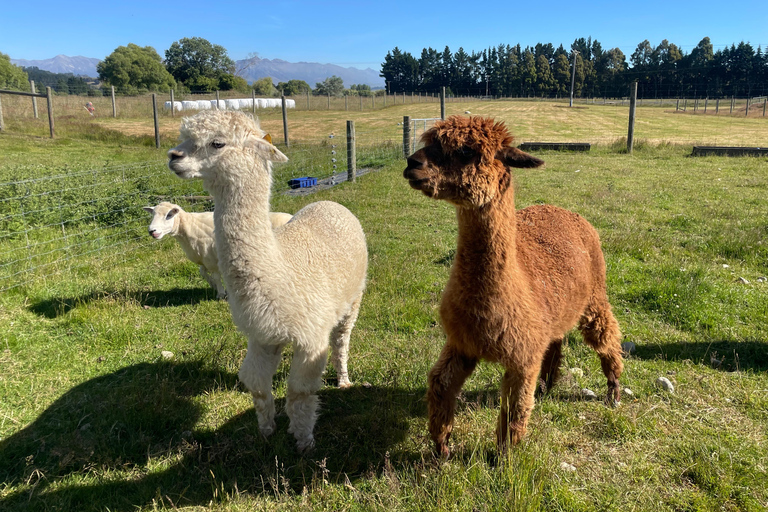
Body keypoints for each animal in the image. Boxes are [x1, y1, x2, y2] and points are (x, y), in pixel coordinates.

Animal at [144, 202, 292, 299]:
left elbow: (215, 276)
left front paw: (221, 293)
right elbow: (202, 272)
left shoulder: (211, 259)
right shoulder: (204, 258)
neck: (189, 227)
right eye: (153, 215)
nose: (152, 231)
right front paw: (214, 286)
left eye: (168, 215)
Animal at [167, 110, 368, 451]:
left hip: (353, 299)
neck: (279, 270)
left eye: (217, 143)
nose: (173, 156)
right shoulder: (261, 336)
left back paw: (343, 379)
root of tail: (331, 204)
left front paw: (303, 441)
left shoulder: (311, 336)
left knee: (342, 340)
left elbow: (300, 391)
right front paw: (266, 431)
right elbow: (257, 385)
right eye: (183, 138)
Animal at [403, 116, 624, 456]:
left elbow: (516, 408)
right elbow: (439, 384)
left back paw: (613, 392)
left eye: (466, 151)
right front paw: (441, 449)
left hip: (595, 295)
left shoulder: (522, 357)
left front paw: (503, 456)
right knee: (556, 341)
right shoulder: (463, 343)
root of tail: (567, 212)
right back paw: (547, 386)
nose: (412, 163)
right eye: (430, 143)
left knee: (606, 334)